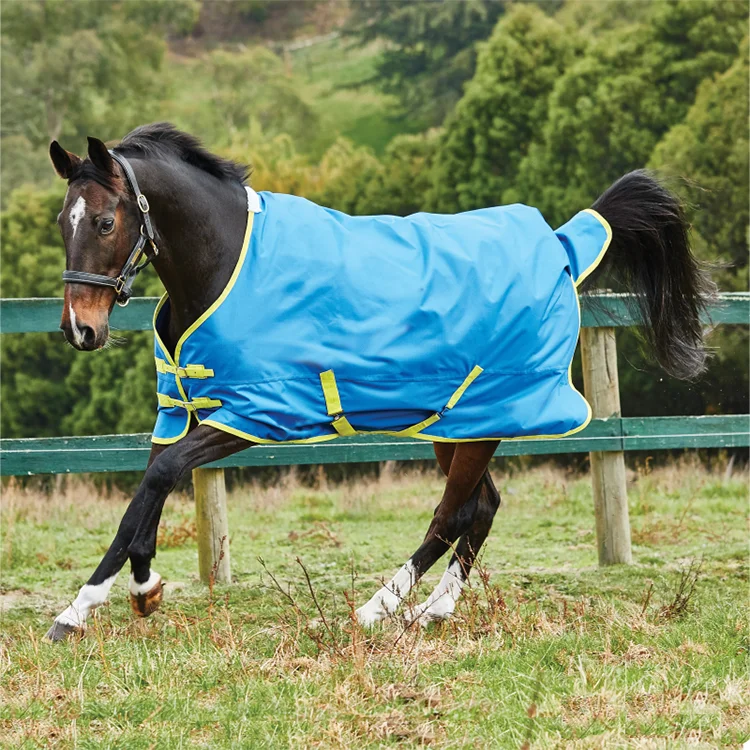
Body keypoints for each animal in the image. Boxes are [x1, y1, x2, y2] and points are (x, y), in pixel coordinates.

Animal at [44, 123, 712, 640]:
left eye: (103, 222)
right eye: (60, 221)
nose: (80, 329)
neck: (224, 265)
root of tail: (561, 241)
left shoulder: (253, 415)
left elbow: (159, 478)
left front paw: (106, 600)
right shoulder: (179, 408)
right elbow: (144, 496)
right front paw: (119, 596)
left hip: (482, 419)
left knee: (452, 513)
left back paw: (378, 609)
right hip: (457, 425)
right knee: (482, 508)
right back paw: (432, 612)